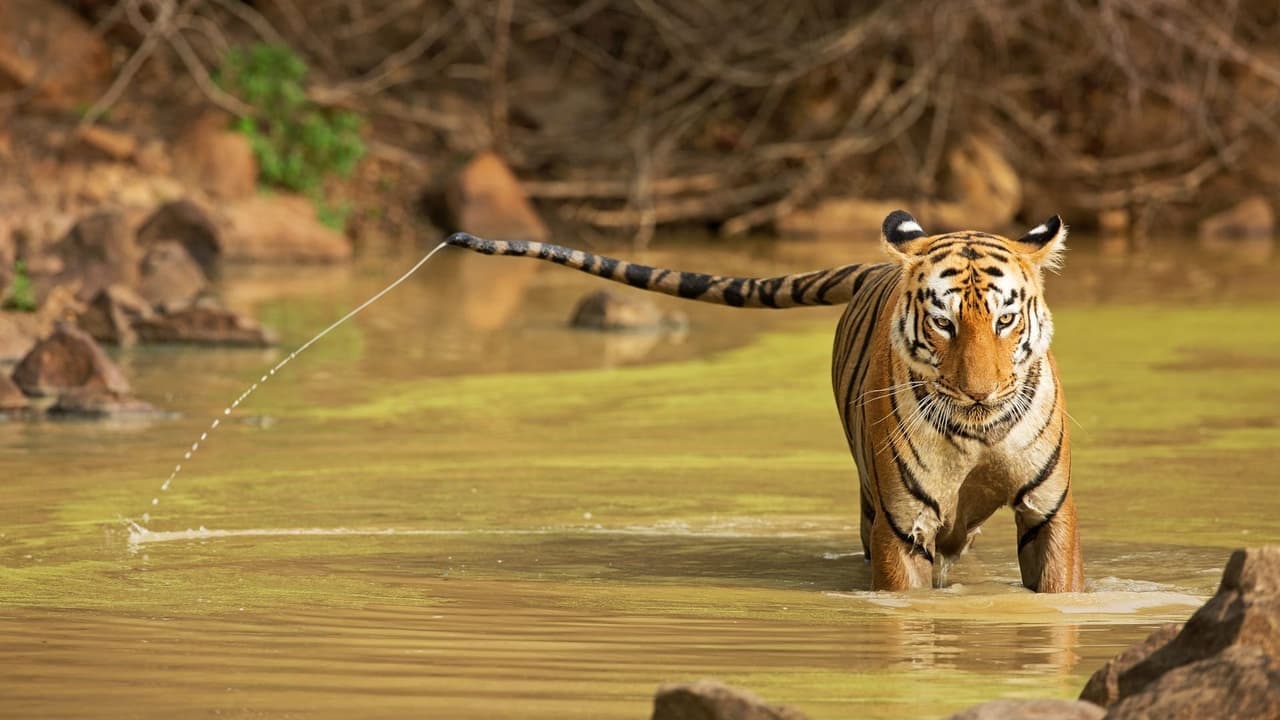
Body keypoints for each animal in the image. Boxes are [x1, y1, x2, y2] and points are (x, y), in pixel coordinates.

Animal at [445, 210, 1085, 591]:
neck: (978, 431)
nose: (980, 391)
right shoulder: (904, 527)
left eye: (1004, 320)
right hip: (873, 505)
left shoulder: (1047, 510)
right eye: (944, 323)